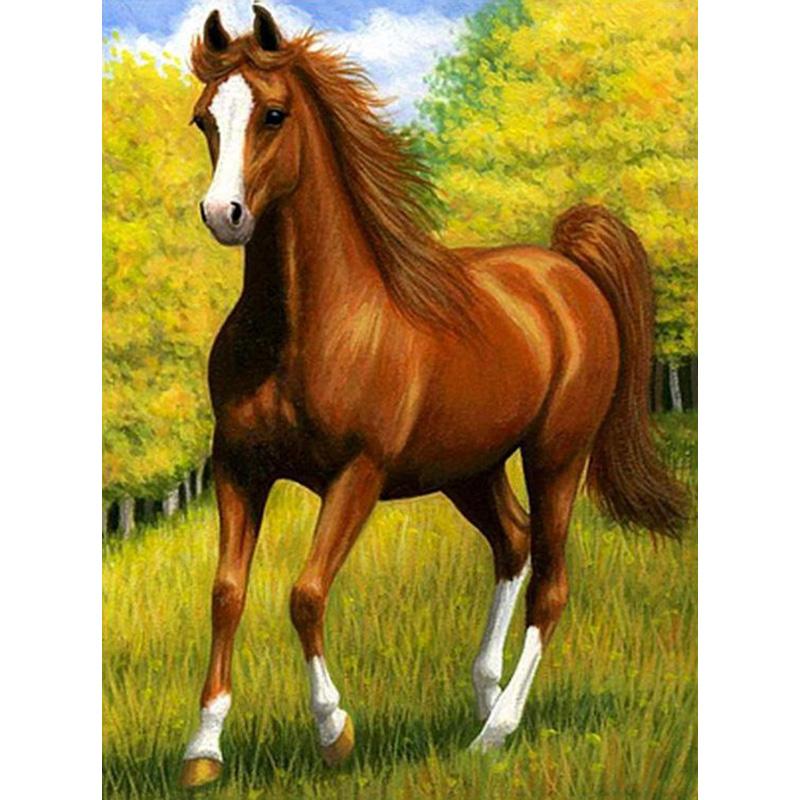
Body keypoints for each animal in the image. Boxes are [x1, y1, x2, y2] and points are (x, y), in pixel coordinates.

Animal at [179, 7, 688, 789]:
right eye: (205, 118)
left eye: (273, 114)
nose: (223, 213)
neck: (308, 328)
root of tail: (567, 269)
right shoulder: (238, 469)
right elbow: (226, 594)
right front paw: (203, 750)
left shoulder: (357, 474)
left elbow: (305, 594)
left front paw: (334, 730)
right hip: (469, 468)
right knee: (513, 544)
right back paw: (484, 695)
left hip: (557, 456)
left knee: (550, 584)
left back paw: (495, 733)